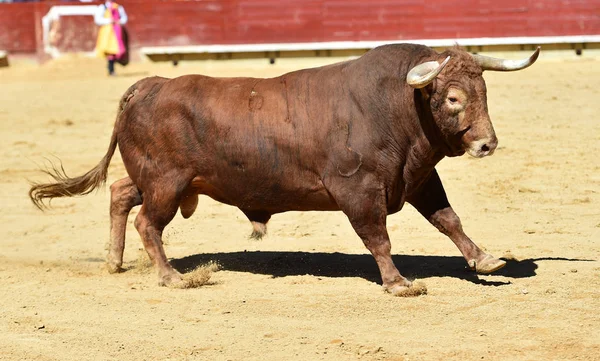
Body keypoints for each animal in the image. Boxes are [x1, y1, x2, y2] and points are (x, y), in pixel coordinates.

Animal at [30, 43, 540, 294]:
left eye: (483, 91)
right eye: (452, 97)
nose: (486, 144)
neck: (395, 104)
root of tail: (148, 85)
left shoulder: (417, 179)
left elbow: (448, 219)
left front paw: (484, 259)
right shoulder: (358, 189)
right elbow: (377, 236)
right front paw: (398, 284)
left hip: (161, 180)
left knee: (120, 193)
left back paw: (115, 262)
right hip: (165, 182)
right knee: (146, 222)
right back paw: (172, 277)